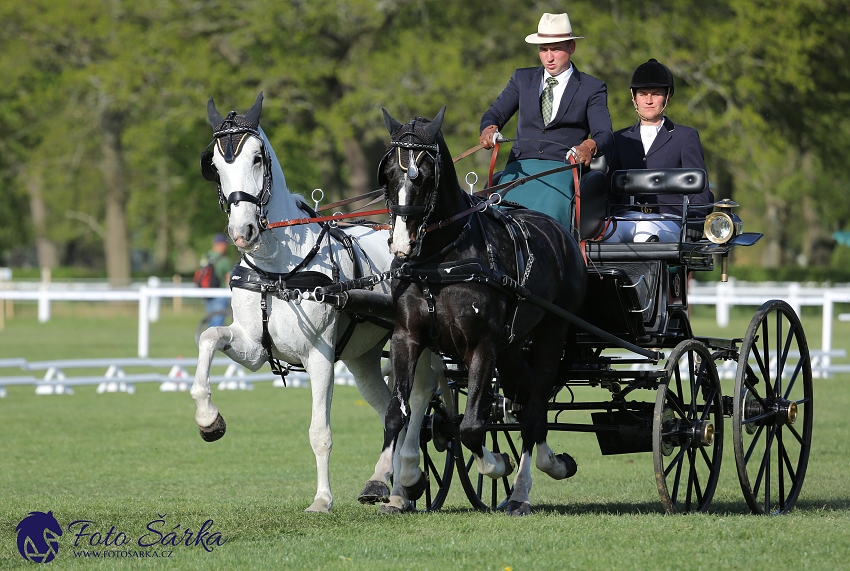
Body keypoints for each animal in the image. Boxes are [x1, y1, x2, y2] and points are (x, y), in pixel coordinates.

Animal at [193, 94, 438, 512]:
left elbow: (319, 431)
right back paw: (387, 483)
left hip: (420, 344)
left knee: (420, 399)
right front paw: (208, 419)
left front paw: (322, 499)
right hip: (363, 358)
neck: (278, 269)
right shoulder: (253, 347)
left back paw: (413, 471)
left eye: (256, 158)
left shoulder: (319, 355)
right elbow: (209, 337)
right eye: (216, 165)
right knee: (389, 407)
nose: (242, 232)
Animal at [380, 107, 588, 512]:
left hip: (551, 332)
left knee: (535, 405)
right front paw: (394, 483)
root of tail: (561, 233)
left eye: (424, 175)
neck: (439, 263)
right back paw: (552, 463)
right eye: (389, 174)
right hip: (512, 346)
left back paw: (523, 488)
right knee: (526, 398)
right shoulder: (407, 337)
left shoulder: (482, 345)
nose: (401, 244)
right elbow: (397, 414)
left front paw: (497, 464)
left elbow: (472, 427)